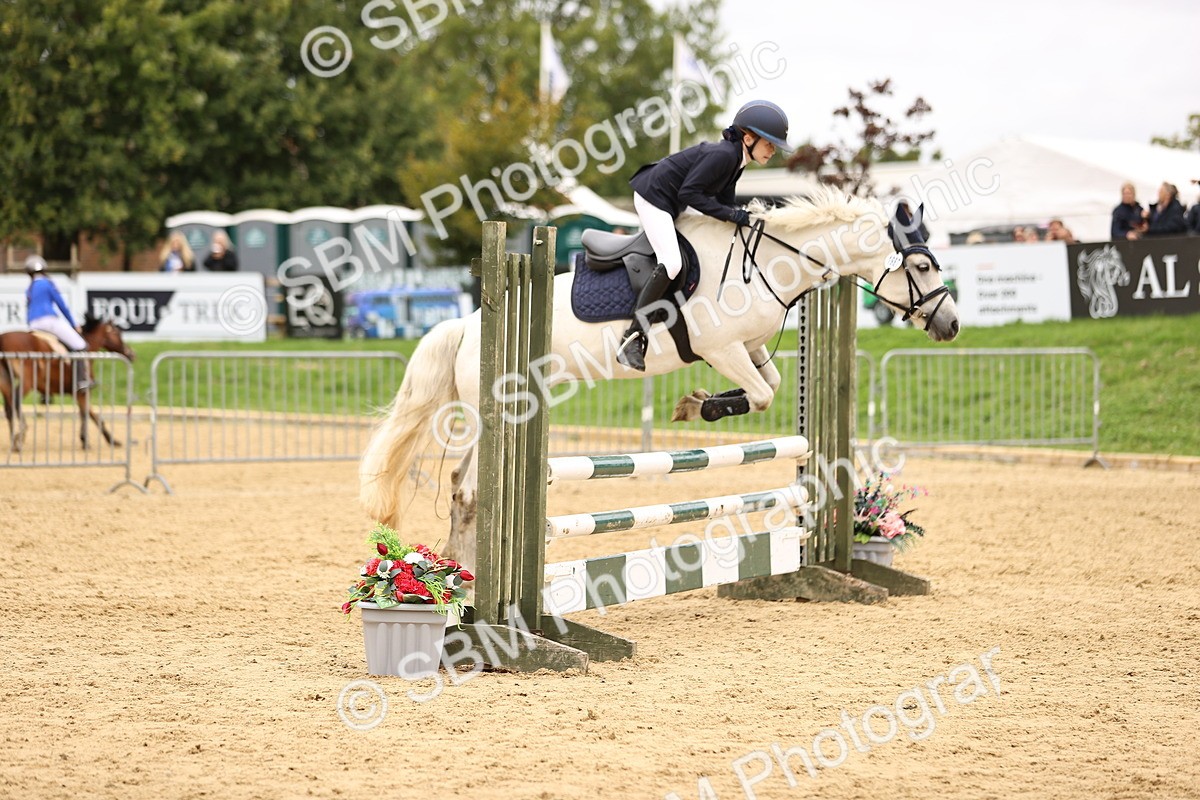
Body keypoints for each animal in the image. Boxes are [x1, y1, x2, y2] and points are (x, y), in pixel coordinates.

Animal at [0, 315, 134, 453]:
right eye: (117, 333)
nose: (131, 354)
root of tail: (3, 338)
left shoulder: (78, 393)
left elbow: (90, 415)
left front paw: (107, 440)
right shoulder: (83, 392)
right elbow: (89, 414)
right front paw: (89, 441)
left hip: (5, 380)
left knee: (8, 407)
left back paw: (14, 442)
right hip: (27, 381)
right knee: (15, 400)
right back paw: (21, 433)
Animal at [359, 187, 960, 564]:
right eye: (921, 265)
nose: (951, 324)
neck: (771, 263)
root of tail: (467, 323)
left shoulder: (751, 348)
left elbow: (771, 388)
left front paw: (697, 403)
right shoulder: (723, 347)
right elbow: (761, 395)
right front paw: (700, 406)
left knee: (463, 487)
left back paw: (461, 578)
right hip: (498, 412)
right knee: (471, 489)